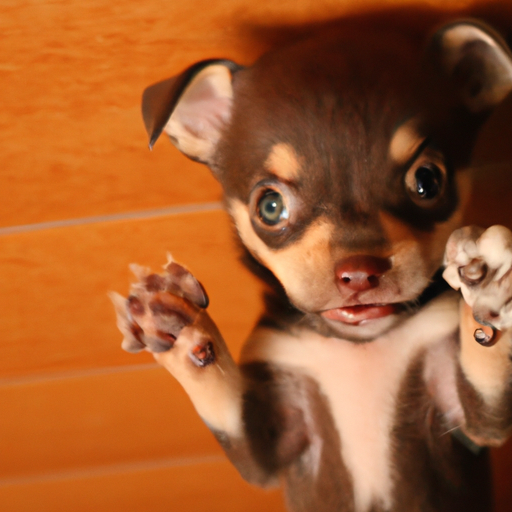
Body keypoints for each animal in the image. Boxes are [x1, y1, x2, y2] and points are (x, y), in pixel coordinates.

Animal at [111, 18, 512, 512]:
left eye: (427, 181)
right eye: (270, 207)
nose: (358, 272)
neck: (359, 346)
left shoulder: (477, 423)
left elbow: (488, 365)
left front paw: (489, 289)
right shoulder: (267, 452)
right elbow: (220, 397)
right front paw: (178, 328)